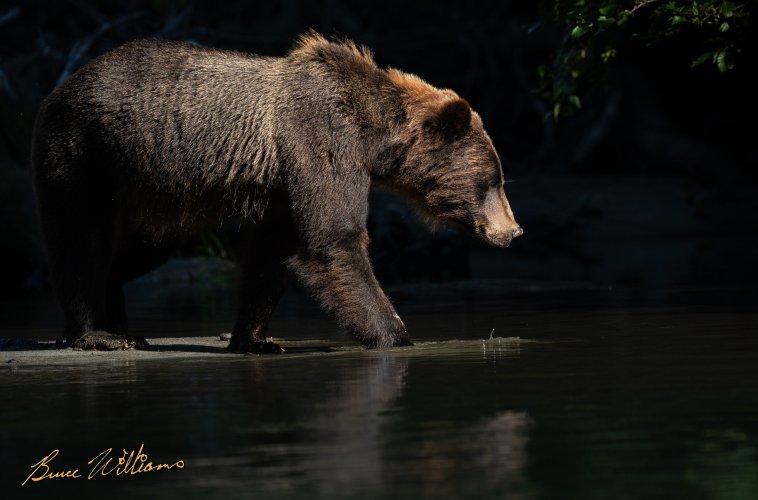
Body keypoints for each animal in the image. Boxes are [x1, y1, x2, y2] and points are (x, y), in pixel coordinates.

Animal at [32, 32, 524, 352]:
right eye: (493, 180)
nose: (514, 231)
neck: (373, 138)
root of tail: (60, 86)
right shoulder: (319, 142)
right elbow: (334, 240)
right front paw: (395, 332)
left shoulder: (285, 182)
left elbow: (273, 253)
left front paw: (255, 338)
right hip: (85, 155)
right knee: (80, 240)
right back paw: (96, 333)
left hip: (150, 194)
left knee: (141, 249)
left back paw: (119, 318)